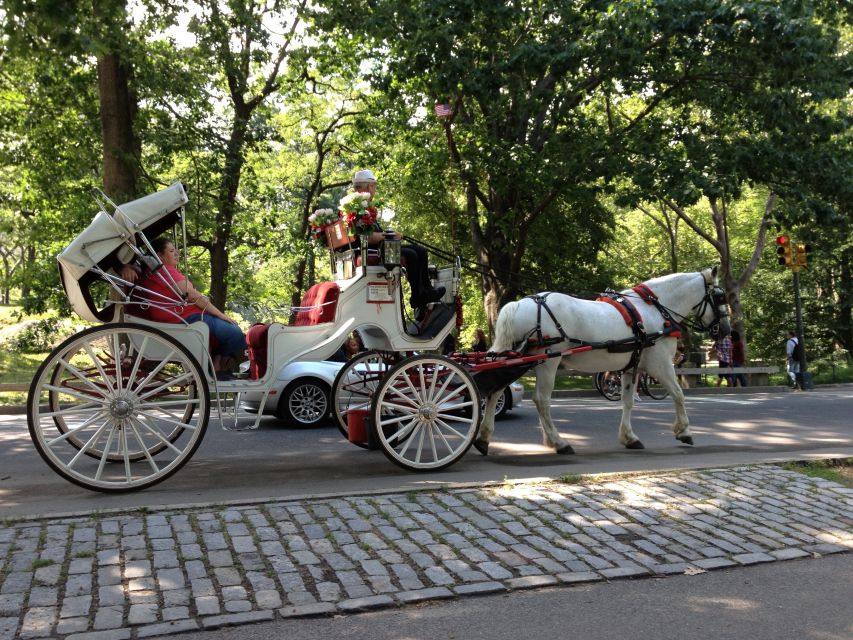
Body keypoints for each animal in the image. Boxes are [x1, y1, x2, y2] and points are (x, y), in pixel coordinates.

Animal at [476, 268, 728, 452]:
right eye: (719, 296)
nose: (725, 329)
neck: (655, 310)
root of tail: (521, 303)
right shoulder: (661, 364)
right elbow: (678, 394)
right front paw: (684, 431)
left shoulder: (631, 367)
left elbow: (628, 401)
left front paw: (629, 437)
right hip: (547, 362)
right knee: (541, 399)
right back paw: (559, 442)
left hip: (516, 360)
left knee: (496, 391)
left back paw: (484, 438)